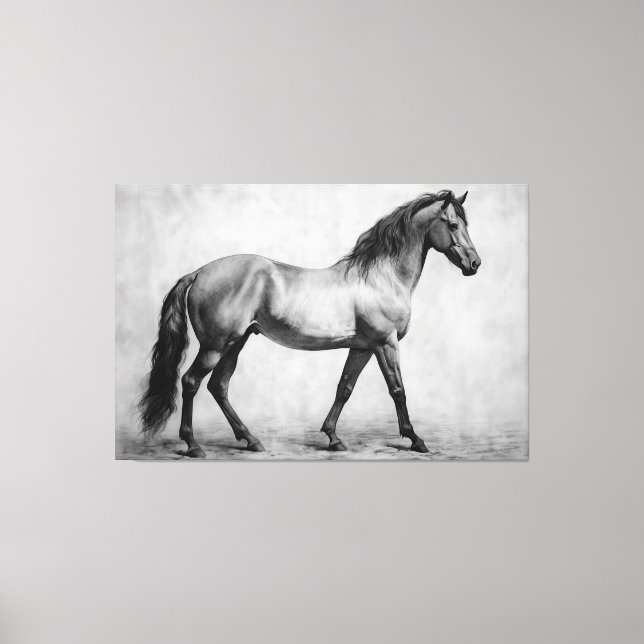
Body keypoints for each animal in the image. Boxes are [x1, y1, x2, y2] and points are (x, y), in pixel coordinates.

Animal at [138, 189, 481, 457]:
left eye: (465, 224)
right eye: (453, 224)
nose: (475, 264)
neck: (380, 278)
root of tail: (197, 273)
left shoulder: (362, 347)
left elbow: (344, 388)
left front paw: (333, 437)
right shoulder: (386, 343)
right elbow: (398, 390)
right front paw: (416, 439)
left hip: (236, 342)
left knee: (218, 386)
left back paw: (251, 440)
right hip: (215, 346)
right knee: (191, 382)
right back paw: (194, 445)